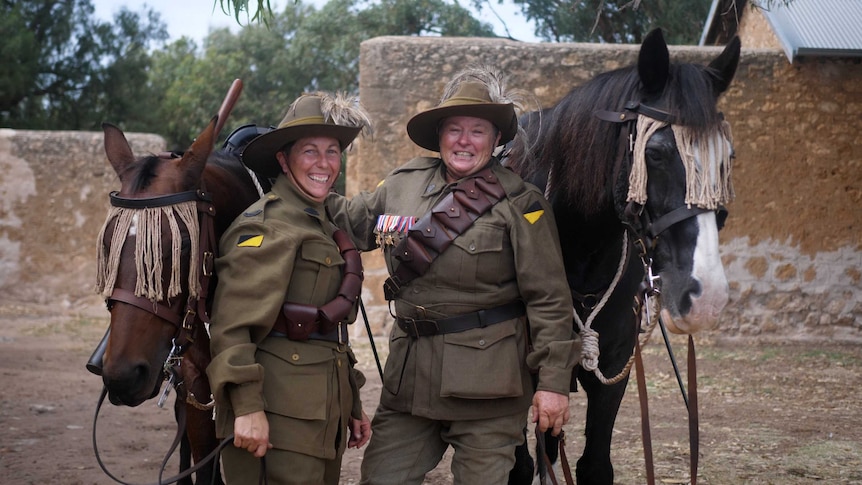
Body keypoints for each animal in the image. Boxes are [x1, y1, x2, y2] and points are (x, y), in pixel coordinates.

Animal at [506, 28, 744, 482]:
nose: (705, 297)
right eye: (655, 153)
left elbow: (594, 464)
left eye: (728, 156)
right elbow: (518, 465)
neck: (578, 251)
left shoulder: (614, 368)